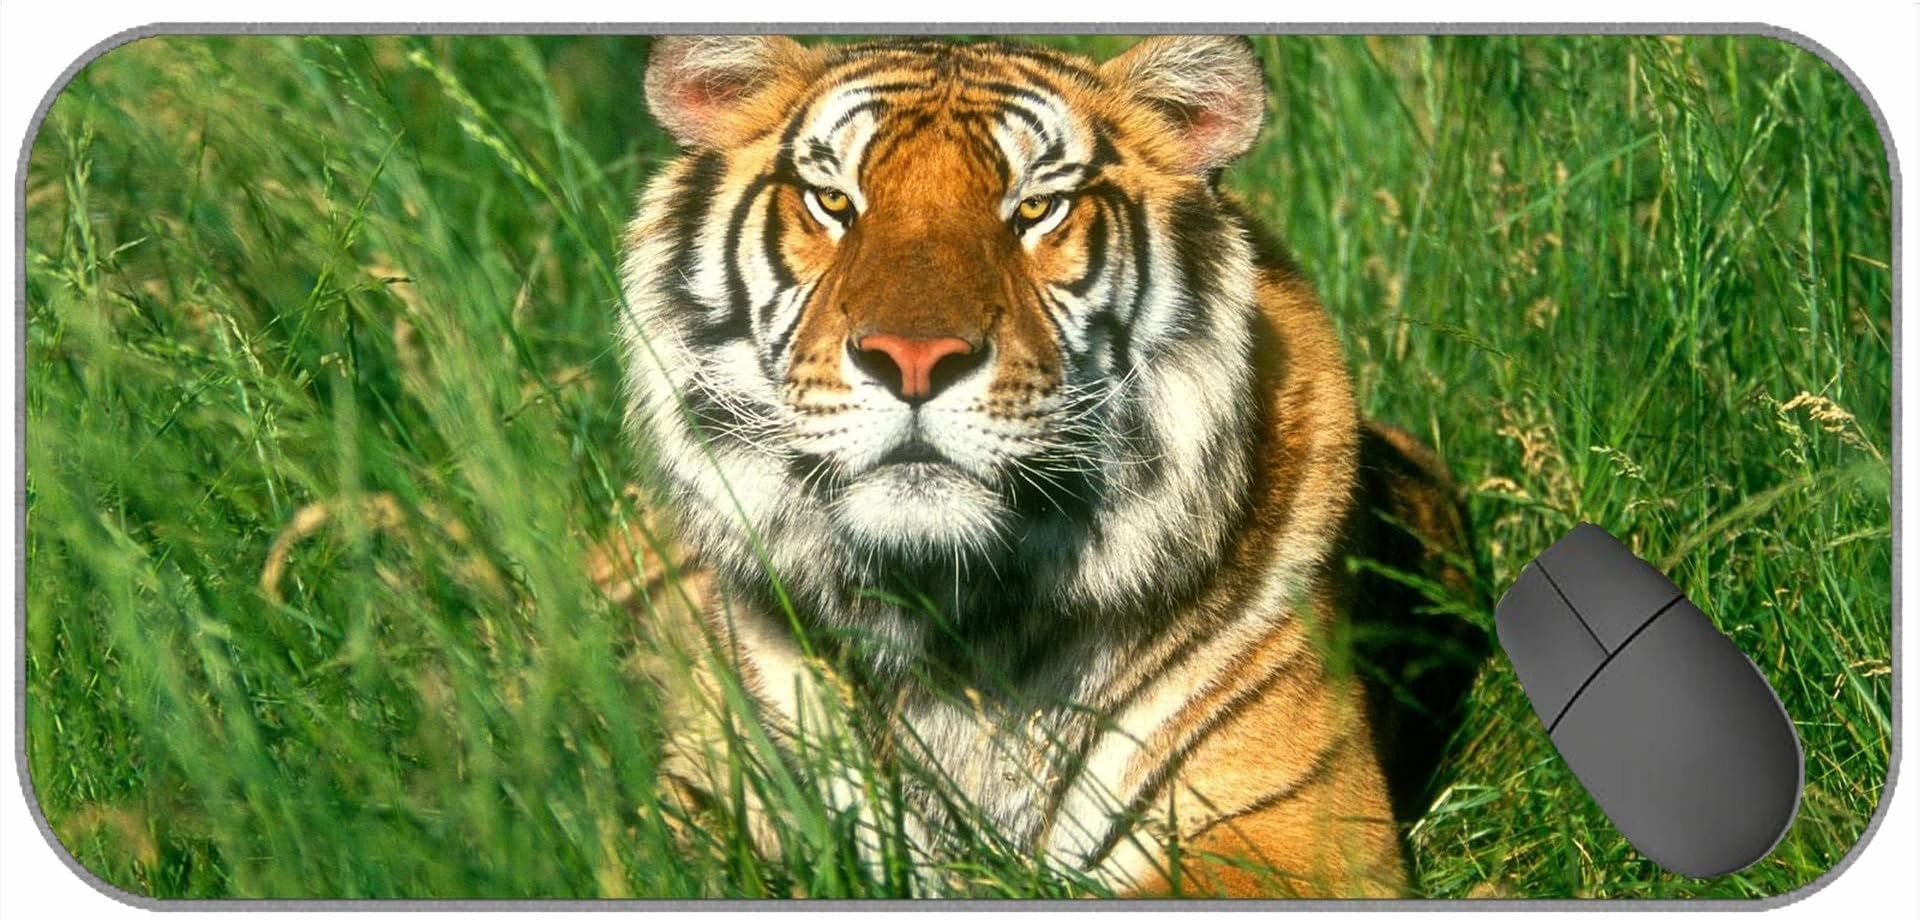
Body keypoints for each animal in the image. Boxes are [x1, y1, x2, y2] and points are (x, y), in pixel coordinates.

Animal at [610, 34, 1474, 898]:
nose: (914, 359)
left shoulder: (1295, 832)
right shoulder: (701, 803)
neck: (952, 619)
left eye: (1034, 209)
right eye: (832, 202)